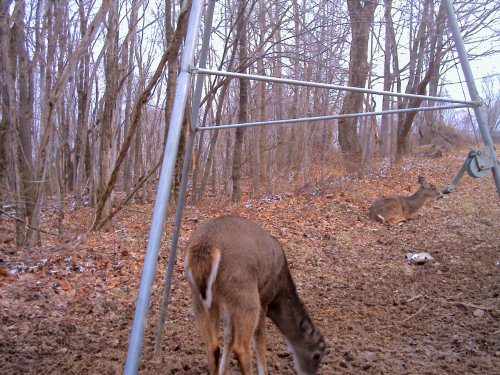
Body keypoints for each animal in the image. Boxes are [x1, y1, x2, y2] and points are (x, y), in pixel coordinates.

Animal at [184, 214, 324, 375]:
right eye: (316, 355)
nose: (309, 373)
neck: (279, 292)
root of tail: (205, 245)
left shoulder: (227, 303)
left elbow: (228, 336)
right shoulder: (264, 299)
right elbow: (259, 341)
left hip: (200, 297)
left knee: (212, 345)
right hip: (246, 293)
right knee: (241, 347)